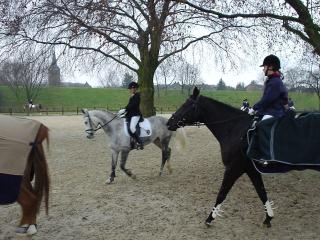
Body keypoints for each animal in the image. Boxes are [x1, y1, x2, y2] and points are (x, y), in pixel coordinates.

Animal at [166, 86, 274, 227]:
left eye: (186, 105)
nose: (169, 123)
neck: (237, 130)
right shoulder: (251, 169)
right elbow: (262, 192)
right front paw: (268, 217)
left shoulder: (233, 168)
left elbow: (222, 193)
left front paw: (210, 218)